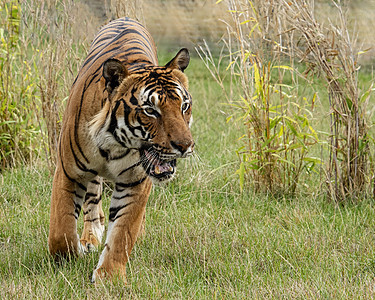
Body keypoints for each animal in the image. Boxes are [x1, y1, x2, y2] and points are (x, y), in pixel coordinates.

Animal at [48, 17, 195, 282]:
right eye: (150, 111)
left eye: (184, 106)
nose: (185, 146)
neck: (115, 144)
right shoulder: (68, 172)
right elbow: (61, 230)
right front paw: (70, 256)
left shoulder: (135, 182)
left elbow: (123, 232)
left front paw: (109, 278)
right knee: (92, 203)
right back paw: (89, 238)